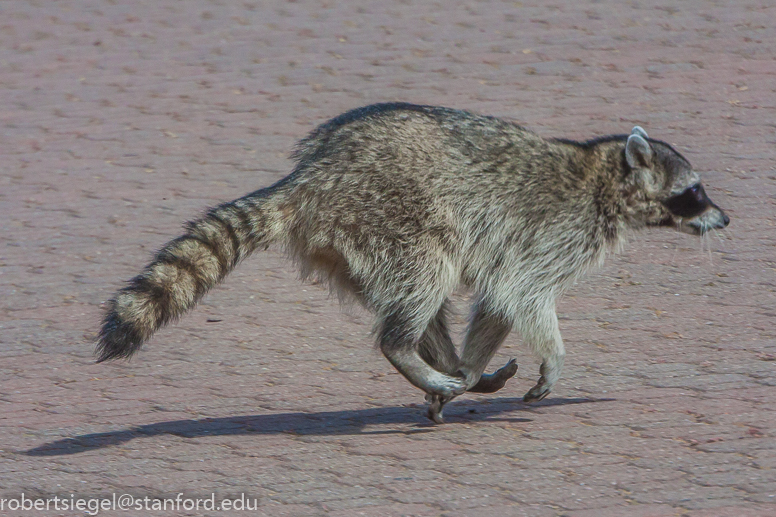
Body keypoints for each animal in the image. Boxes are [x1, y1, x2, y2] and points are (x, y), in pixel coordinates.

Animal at [95, 103, 728, 422]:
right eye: (694, 192)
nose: (724, 219)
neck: (603, 175)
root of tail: (312, 176)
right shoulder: (553, 233)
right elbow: (519, 293)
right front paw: (553, 360)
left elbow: (496, 302)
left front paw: (471, 365)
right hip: (394, 213)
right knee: (427, 276)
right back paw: (407, 350)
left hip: (352, 243)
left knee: (423, 296)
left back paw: (448, 362)